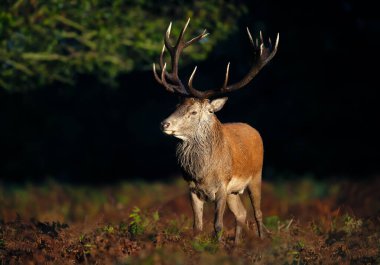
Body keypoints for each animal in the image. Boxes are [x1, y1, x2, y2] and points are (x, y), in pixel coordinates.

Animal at [152, 17, 280, 242]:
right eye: (176, 105)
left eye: (194, 111)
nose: (164, 124)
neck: (203, 172)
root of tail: (253, 129)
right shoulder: (192, 189)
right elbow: (197, 226)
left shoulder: (222, 186)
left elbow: (218, 225)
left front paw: (217, 245)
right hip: (234, 192)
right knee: (241, 214)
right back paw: (237, 244)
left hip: (256, 175)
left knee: (257, 213)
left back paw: (262, 240)